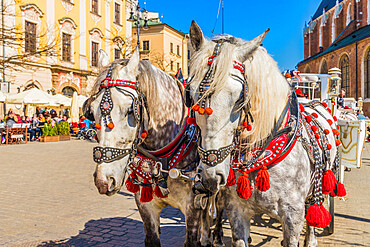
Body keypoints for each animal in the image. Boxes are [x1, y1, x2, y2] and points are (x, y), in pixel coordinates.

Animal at [84, 48, 211, 247]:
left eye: (130, 110)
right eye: (91, 112)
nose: (104, 181)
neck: (163, 160)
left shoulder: (193, 207)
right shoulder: (146, 206)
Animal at [186, 21, 342, 247]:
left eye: (240, 98)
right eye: (190, 95)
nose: (210, 176)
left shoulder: (293, 216)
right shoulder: (237, 211)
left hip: (319, 182)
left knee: (314, 206)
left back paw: (312, 238)